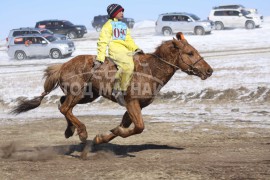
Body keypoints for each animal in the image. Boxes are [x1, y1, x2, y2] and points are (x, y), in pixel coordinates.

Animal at [10, 32, 213, 145]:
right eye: (190, 53)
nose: (209, 70)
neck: (150, 70)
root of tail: (63, 65)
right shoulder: (132, 102)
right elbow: (138, 127)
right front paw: (110, 133)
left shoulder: (133, 106)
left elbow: (125, 125)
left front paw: (103, 137)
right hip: (77, 92)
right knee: (65, 107)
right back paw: (81, 132)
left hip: (87, 95)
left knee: (62, 104)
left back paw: (70, 130)